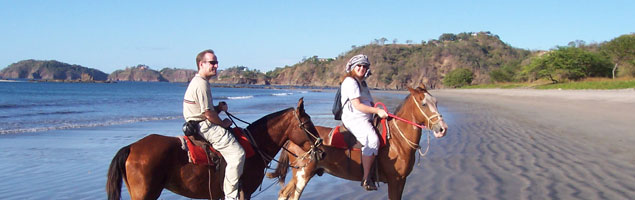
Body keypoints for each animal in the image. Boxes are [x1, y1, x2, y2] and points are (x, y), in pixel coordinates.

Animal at [268, 85, 448, 200]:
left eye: (436, 102)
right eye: (423, 104)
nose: (442, 129)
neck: (397, 141)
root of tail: (290, 139)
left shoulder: (400, 181)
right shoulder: (396, 180)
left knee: (283, 193)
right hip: (302, 174)